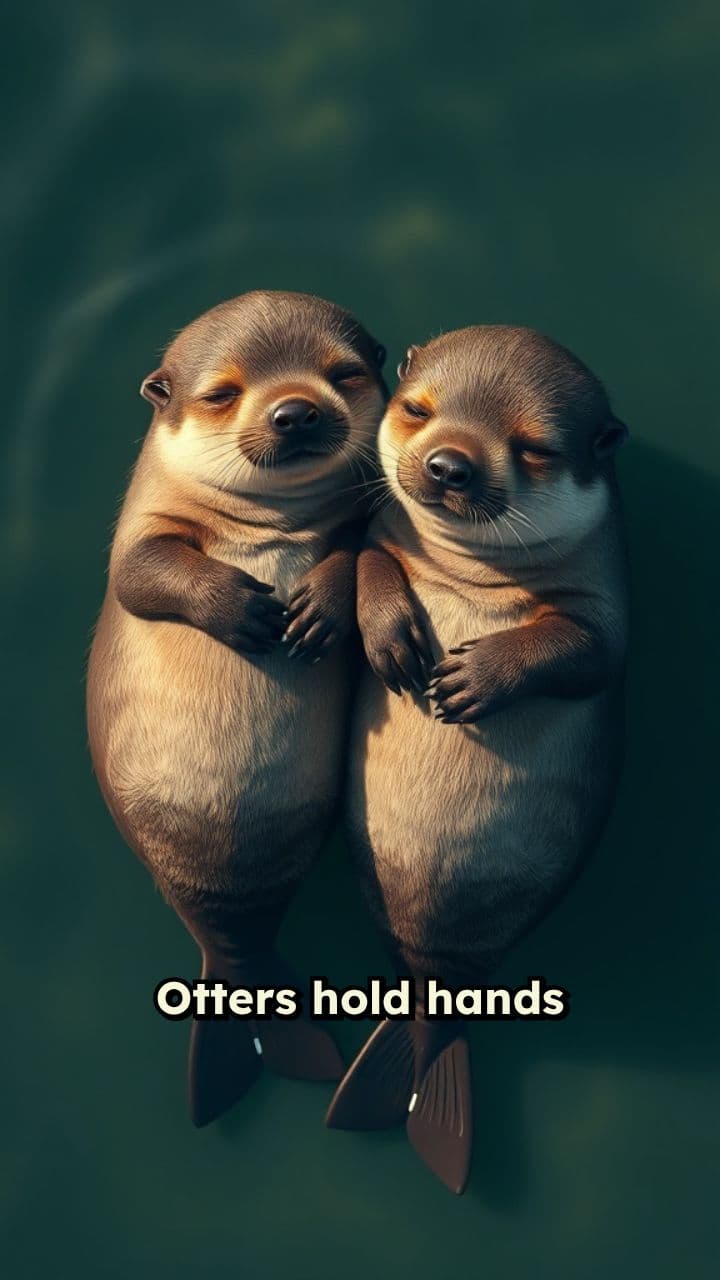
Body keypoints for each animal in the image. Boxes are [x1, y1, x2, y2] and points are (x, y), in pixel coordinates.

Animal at [87, 290, 387, 1126]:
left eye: (344, 373)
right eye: (223, 393)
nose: (296, 411)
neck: (266, 533)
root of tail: (234, 956)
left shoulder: (358, 526)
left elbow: (354, 554)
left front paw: (317, 609)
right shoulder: (139, 533)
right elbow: (142, 574)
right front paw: (241, 610)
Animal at [326, 326, 629, 1193]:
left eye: (533, 447)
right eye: (417, 409)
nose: (448, 464)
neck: (475, 576)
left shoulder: (606, 611)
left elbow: (580, 651)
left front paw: (476, 678)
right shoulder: (378, 534)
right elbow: (367, 562)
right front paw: (393, 639)